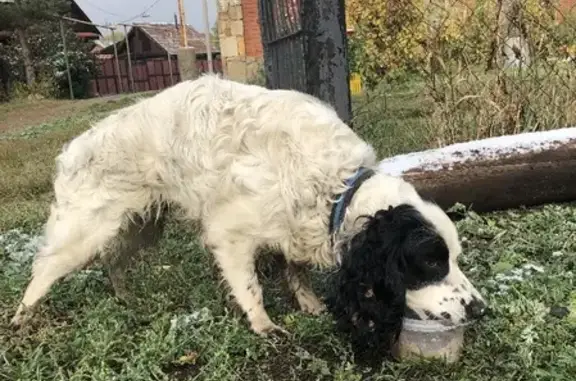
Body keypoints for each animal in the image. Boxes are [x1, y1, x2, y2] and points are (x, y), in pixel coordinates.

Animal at [10, 75, 486, 356]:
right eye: (430, 261)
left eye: (454, 257)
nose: (481, 309)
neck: (336, 188)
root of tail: (73, 148)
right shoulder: (231, 235)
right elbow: (251, 287)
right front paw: (264, 325)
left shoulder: (295, 227)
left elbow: (295, 269)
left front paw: (308, 303)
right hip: (85, 230)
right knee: (44, 267)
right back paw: (21, 318)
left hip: (140, 224)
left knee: (113, 261)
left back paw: (126, 298)